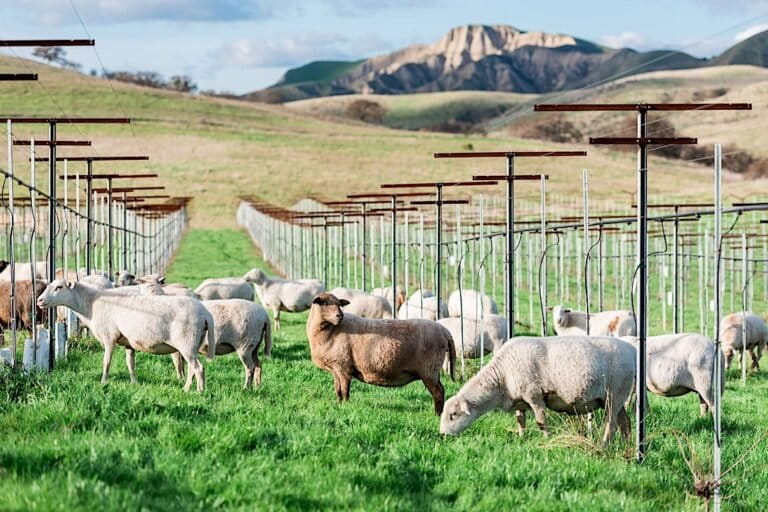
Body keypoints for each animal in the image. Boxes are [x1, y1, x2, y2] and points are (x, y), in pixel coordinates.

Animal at [37, 279, 215, 391]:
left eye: (59, 287)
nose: (39, 301)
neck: (91, 304)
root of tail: (205, 313)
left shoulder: (109, 337)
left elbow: (106, 362)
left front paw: (103, 382)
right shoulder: (129, 342)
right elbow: (131, 364)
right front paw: (134, 383)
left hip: (187, 342)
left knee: (198, 368)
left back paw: (198, 392)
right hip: (192, 344)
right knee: (192, 368)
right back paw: (187, 388)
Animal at [140, 276, 271, 387]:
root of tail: (264, 315)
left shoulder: (177, 347)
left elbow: (178, 365)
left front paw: (181, 380)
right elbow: (184, 365)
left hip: (245, 345)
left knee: (250, 367)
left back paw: (246, 388)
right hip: (254, 346)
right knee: (258, 365)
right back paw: (257, 386)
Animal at [306, 292, 456, 414]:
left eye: (339, 304)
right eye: (324, 303)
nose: (340, 315)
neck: (330, 331)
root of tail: (445, 331)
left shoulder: (344, 368)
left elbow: (344, 391)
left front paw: (345, 407)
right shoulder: (336, 368)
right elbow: (337, 390)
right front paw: (338, 405)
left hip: (429, 369)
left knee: (438, 392)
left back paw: (437, 415)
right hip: (433, 370)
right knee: (440, 390)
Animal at [440, 335, 636, 445]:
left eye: (453, 415)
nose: (442, 435)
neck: (502, 377)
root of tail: (632, 350)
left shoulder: (534, 394)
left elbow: (541, 420)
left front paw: (547, 439)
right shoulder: (520, 399)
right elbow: (520, 420)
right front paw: (521, 438)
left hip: (615, 394)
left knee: (611, 424)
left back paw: (604, 445)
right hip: (615, 397)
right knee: (625, 422)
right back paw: (627, 446)